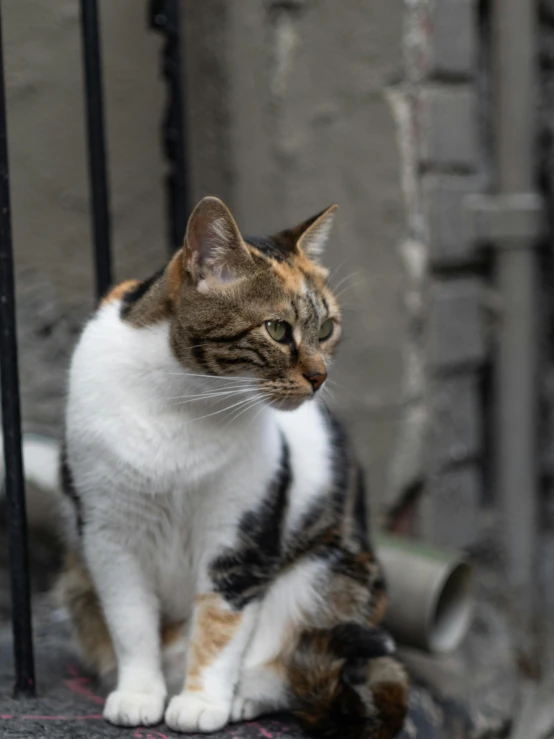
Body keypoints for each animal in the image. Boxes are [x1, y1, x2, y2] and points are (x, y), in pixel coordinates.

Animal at [57, 198, 406, 739]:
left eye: (327, 329)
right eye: (277, 329)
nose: (320, 377)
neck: (181, 403)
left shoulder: (242, 534)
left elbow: (221, 627)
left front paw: (201, 703)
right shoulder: (109, 534)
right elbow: (130, 621)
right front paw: (138, 694)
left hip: (326, 572)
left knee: (291, 664)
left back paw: (241, 697)